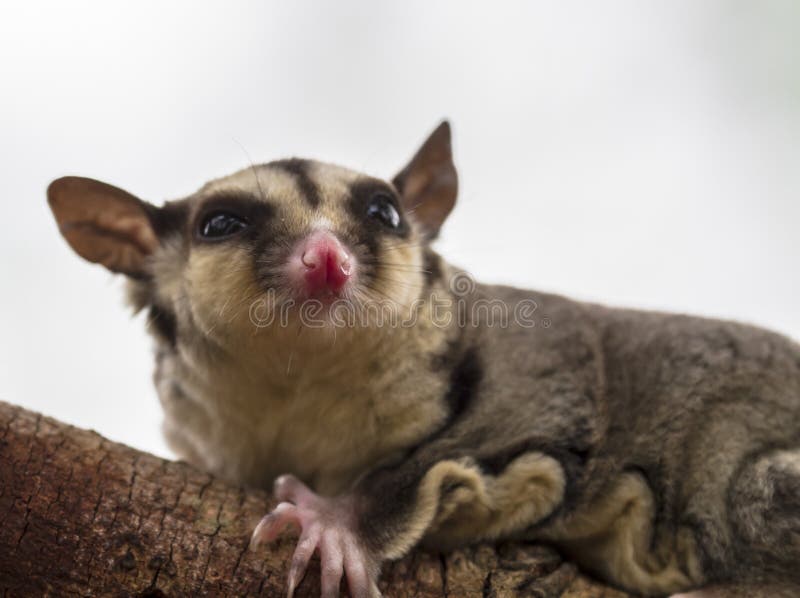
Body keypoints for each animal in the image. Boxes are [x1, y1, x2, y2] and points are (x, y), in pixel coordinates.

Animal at [48, 122, 800, 597]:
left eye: (384, 213)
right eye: (220, 225)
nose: (327, 259)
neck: (298, 392)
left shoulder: (539, 363)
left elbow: (496, 422)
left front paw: (336, 524)